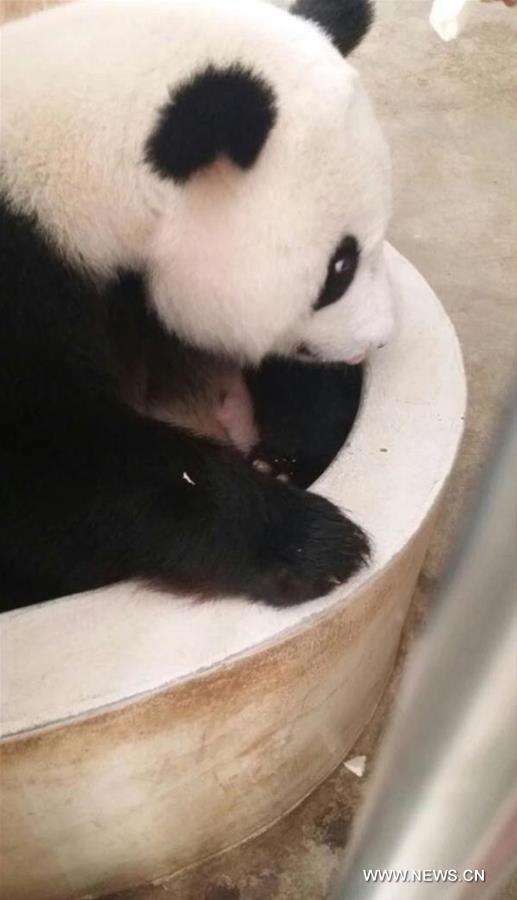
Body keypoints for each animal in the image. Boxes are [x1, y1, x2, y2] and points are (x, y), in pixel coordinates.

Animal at [0, 0, 393, 611]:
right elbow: (44, 470)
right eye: (340, 266)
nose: (377, 338)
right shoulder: (21, 279)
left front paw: (286, 455)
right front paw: (310, 543)